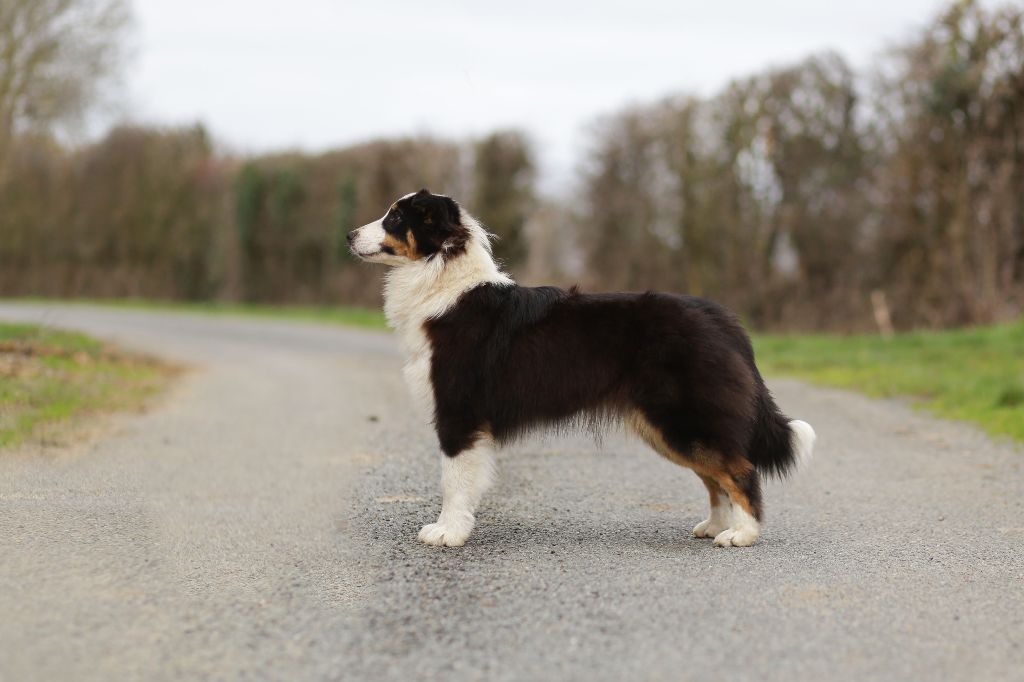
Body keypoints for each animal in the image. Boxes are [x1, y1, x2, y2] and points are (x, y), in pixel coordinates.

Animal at [350, 187, 815, 548]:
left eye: (395, 217)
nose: (350, 235)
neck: (441, 279)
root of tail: (722, 318)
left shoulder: (458, 411)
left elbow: (453, 479)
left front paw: (447, 533)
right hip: (669, 425)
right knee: (715, 475)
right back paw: (716, 526)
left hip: (683, 418)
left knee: (740, 469)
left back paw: (742, 534)